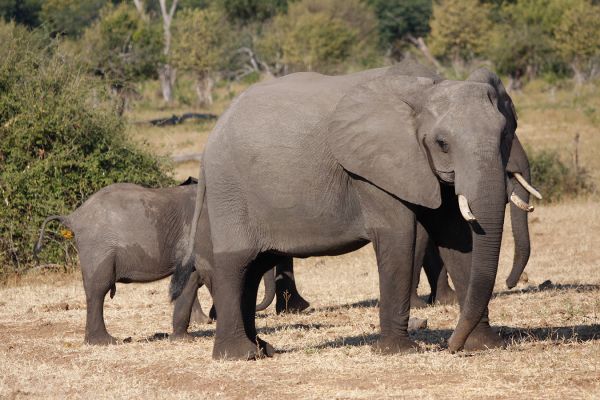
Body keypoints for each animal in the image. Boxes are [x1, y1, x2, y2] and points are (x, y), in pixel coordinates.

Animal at [34, 180, 274, 346]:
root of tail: (72, 217)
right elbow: (207, 275)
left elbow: (191, 281)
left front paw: (182, 339)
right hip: (98, 247)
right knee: (98, 289)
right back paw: (107, 342)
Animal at [172, 63, 524, 360]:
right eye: (442, 143)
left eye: (505, 135)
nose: (450, 345)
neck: (424, 90)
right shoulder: (371, 169)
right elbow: (398, 235)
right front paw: (398, 352)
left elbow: (457, 237)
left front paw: (483, 346)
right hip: (229, 188)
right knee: (237, 263)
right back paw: (239, 356)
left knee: (256, 267)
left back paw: (264, 349)